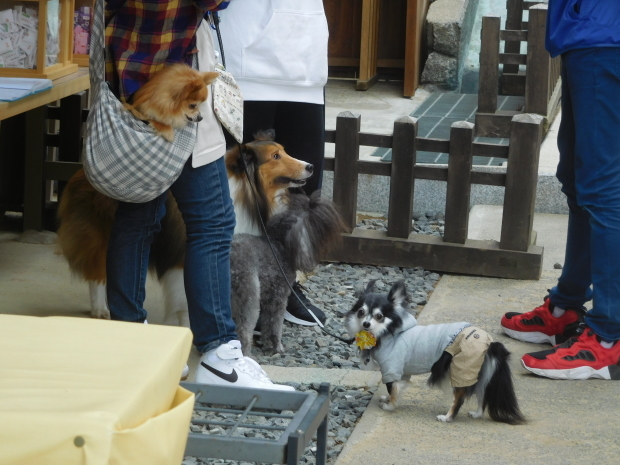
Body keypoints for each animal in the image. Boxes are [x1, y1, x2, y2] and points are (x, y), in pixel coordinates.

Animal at [55, 129, 312, 324]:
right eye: (275, 156)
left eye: (284, 151)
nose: (310, 166)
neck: (247, 194)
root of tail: (81, 171)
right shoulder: (185, 258)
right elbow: (189, 298)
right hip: (102, 236)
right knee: (96, 274)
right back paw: (100, 309)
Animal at [230, 191, 344, 356]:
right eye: (315, 221)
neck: (279, 245)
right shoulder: (277, 296)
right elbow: (274, 324)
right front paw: (275, 346)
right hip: (247, 295)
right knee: (243, 330)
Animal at [344, 280, 524, 424]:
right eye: (361, 312)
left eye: (379, 316)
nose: (366, 324)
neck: (388, 332)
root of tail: (489, 341)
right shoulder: (401, 372)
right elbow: (396, 388)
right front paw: (387, 399)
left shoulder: (391, 369)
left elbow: (393, 389)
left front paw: (390, 406)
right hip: (476, 372)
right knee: (482, 393)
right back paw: (477, 414)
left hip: (461, 370)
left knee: (459, 398)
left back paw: (447, 417)